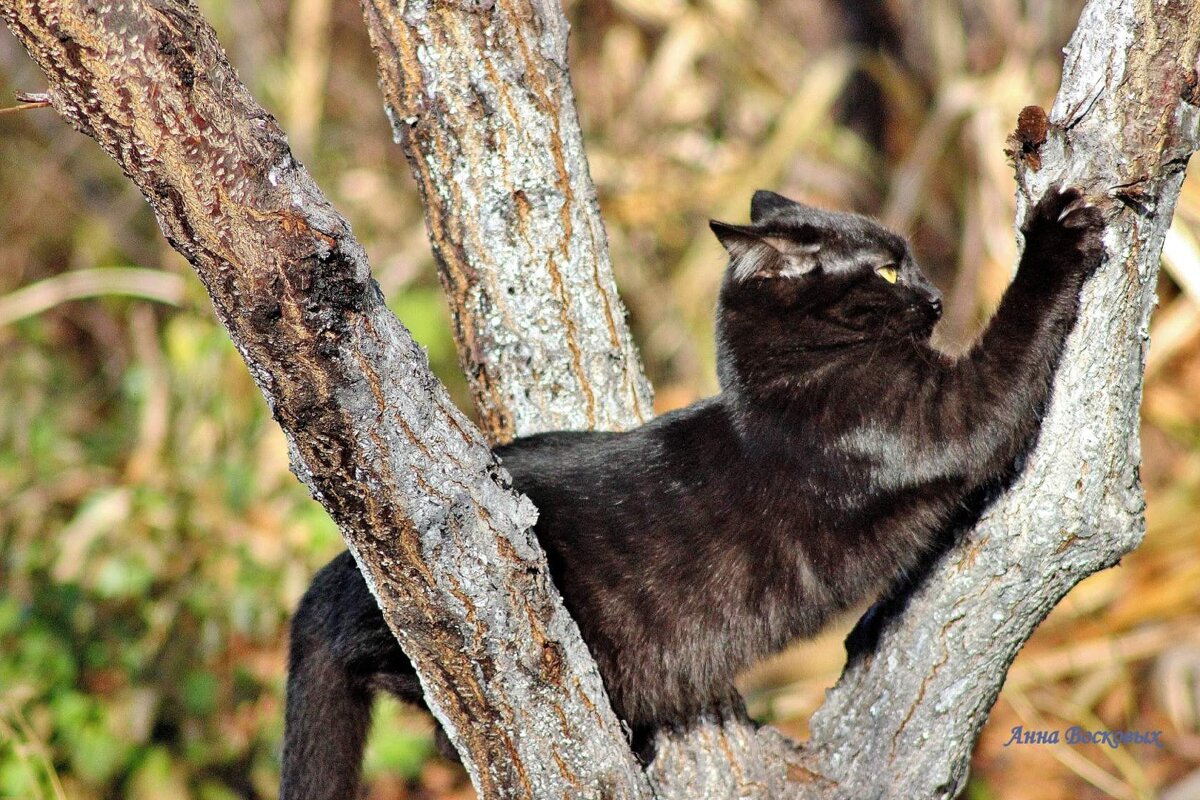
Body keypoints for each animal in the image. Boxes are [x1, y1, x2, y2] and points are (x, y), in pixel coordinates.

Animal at [280, 188, 1104, 800]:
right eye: (890, 272)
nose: (933, 296)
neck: (784, 381)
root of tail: (330, 575)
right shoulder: (952, 414)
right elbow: (1013, 339)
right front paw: (1055, 235)